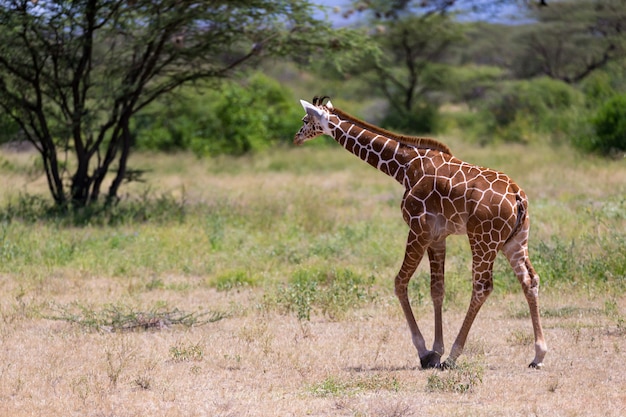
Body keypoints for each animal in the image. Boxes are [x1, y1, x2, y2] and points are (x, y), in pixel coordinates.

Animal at [294, 96, 544, 368]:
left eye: (305, 120)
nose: (296, 137)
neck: (405, 167)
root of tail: (517, 196)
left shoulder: (418, 229)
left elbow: (400, 282)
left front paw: (425, 352)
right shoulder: (437, 237)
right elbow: (437, 289)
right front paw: (435, 351)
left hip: (482, 238)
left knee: (482, 287)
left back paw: (454, 356)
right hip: (516, 241)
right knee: (530, 279)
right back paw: (538, 355)